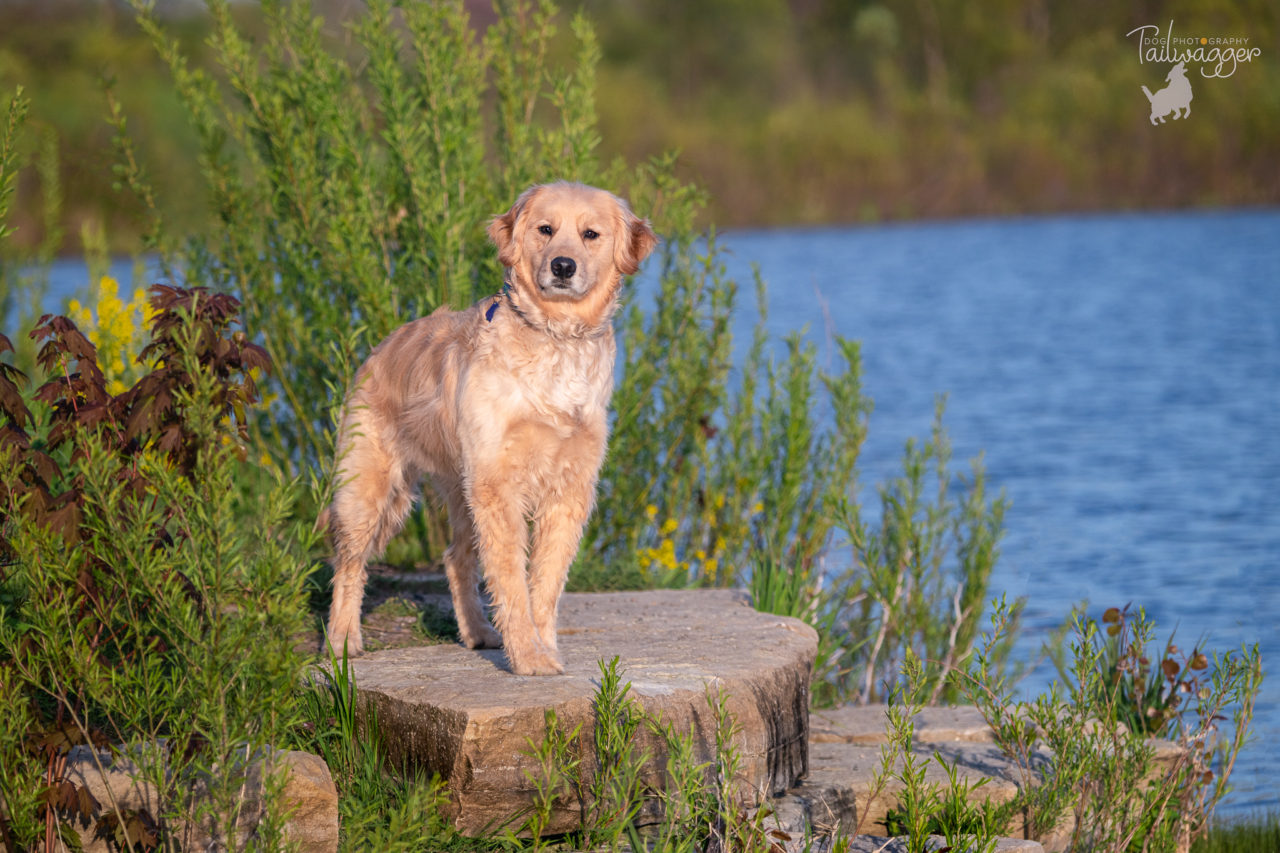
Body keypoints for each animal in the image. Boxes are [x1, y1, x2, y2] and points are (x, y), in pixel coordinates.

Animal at [325, 183, 660, 676]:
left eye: (591, 234)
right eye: (545, 229)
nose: (563, 266)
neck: (554, 338)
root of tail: (378, 348)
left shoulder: (569, 487)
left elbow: (545, 581)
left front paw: (543, 646)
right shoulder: (498, 484)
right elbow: (512, 580)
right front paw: (528, 656)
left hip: (462, 491)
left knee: (454, 558)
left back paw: (478, 632)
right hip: (369, 490)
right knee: (349, 565)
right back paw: (343, 640)